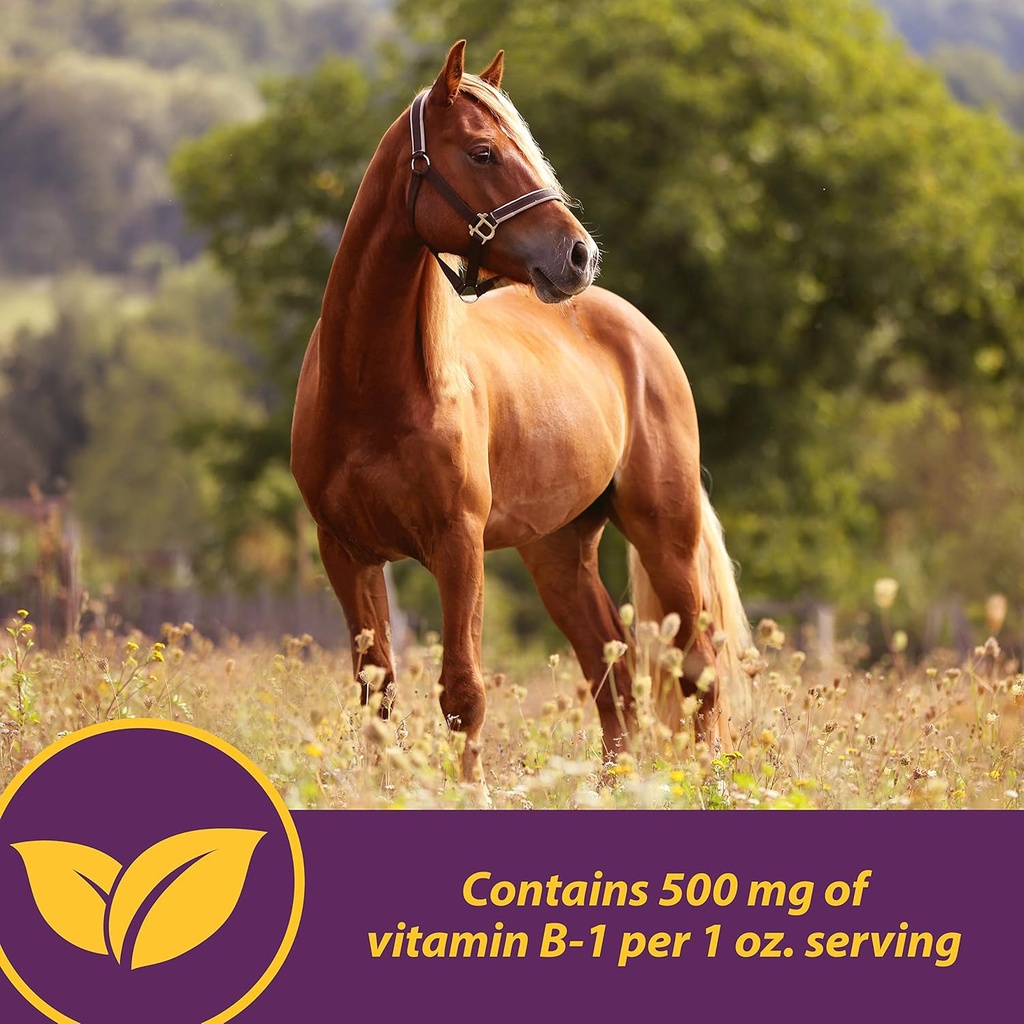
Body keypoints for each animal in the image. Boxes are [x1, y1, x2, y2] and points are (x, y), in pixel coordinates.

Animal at [291, 40, 752, 785]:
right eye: (482, 153)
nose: (579, 254)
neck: (372, 392)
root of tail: (639, 331)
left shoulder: (457, 545)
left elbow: (463, 692)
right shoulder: (347, 553)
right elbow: (377, 694)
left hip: (666, 535)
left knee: (697, 668)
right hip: (559, 551)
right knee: (611, 670)